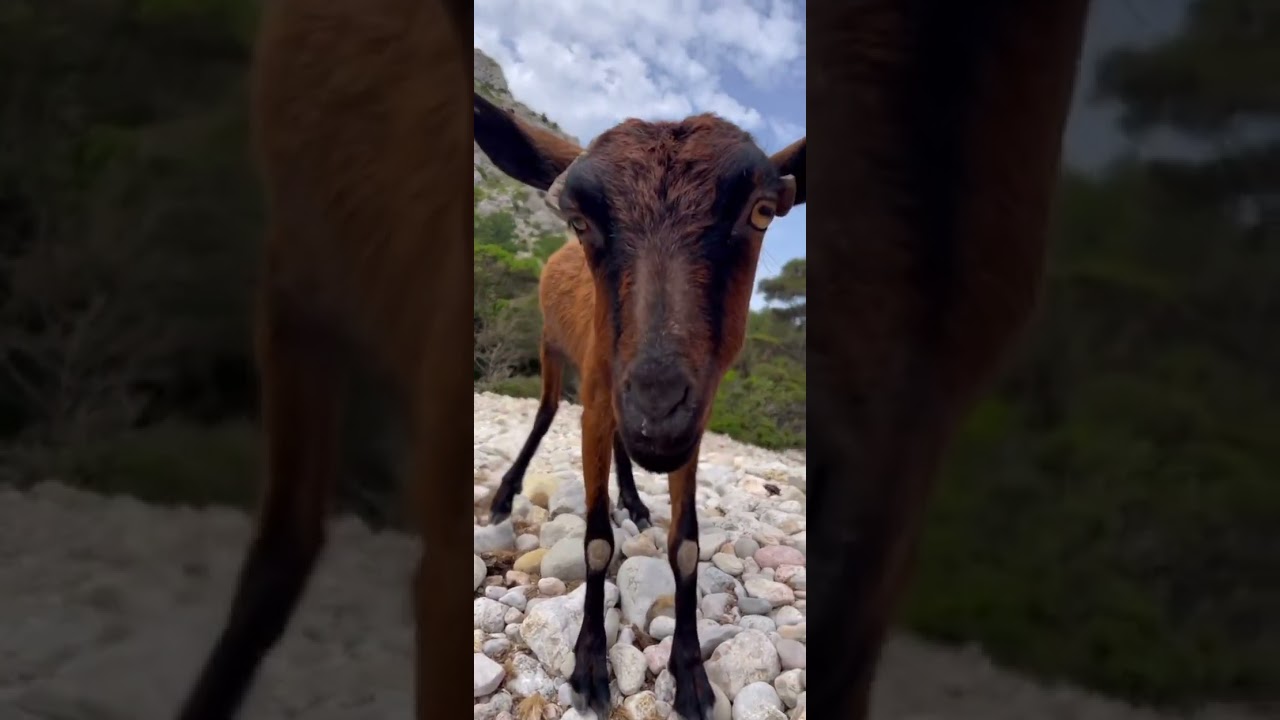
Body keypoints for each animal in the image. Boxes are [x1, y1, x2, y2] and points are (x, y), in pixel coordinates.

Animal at [474, 92, 806, 719]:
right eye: (579, 219)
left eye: (761, 211)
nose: (657, 404)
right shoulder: (597, 402)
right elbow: (597, 542)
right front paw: (589, 664)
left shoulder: (689, 428)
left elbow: (687, 547)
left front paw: (692, 672)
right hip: (552, 348)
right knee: (547, 412)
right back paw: (505, 495)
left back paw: (632, 497)